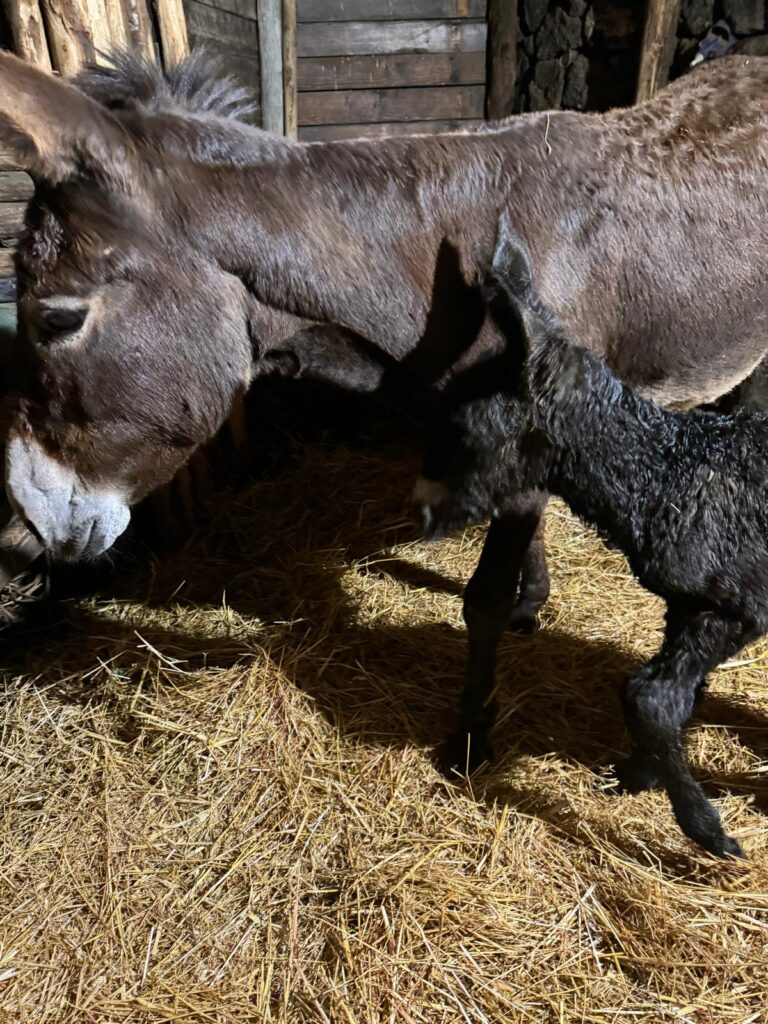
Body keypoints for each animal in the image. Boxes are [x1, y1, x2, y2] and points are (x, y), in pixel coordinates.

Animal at [417, 222, 768, 856]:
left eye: (463, 429)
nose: (422, 510)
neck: (666, 473)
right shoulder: (689, 605)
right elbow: (675, 698)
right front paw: (642, 775)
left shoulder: (738, 601)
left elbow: (649, 698)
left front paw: (707, 830)